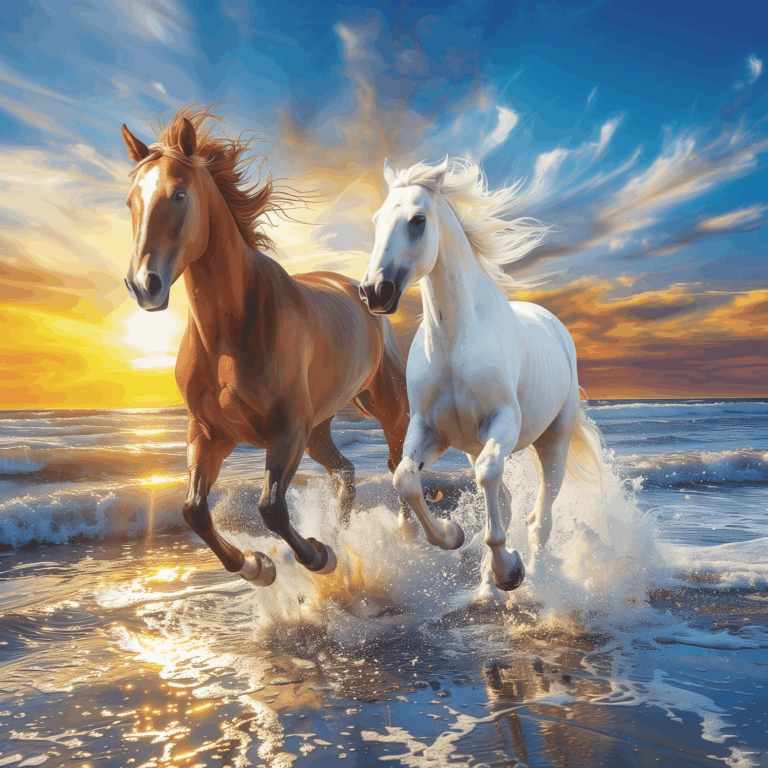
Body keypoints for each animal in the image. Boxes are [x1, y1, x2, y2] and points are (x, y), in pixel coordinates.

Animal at [120, 106, 411, 585]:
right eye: (131, 202)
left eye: (179, 194)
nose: (144, 285)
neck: (227, 336)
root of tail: (362, 290)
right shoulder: (210, 434)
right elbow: (194, 510)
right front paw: (256, 565)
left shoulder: (286, 429)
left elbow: (271, 507)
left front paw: (319, 556)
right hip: (318, 429)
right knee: (344, 473)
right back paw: (344, 538)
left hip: (382, 404)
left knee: (397, 464)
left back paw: (404, 532)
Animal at [359, 157, 603, 603]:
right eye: (377, 219)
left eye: (417, 219)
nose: (374, 292)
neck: (453, 341)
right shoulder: (431, 431)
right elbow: (406, 478)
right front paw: (452, 535)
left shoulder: (502, 422)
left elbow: (489, 475)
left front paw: (511, 573)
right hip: (476, 445)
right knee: (506, 502)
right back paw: (486, 590)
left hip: (553, 442)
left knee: (541, 519)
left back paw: (534, 583)